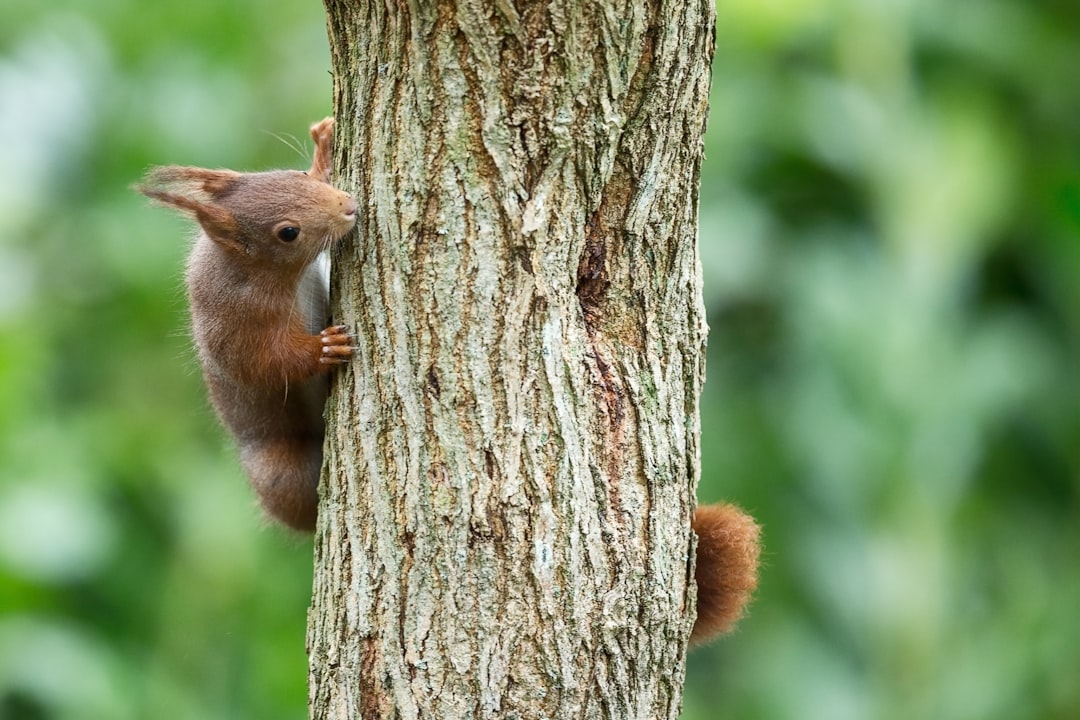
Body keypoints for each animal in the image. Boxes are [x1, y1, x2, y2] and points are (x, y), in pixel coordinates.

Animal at [137, 117, 759, 642]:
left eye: (290, 177)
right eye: (287, 232)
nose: (347, 206)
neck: (245, 268)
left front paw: (325, 146)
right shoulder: (236, 324)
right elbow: (267, 364)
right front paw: (322, 349)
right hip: (280, 469)